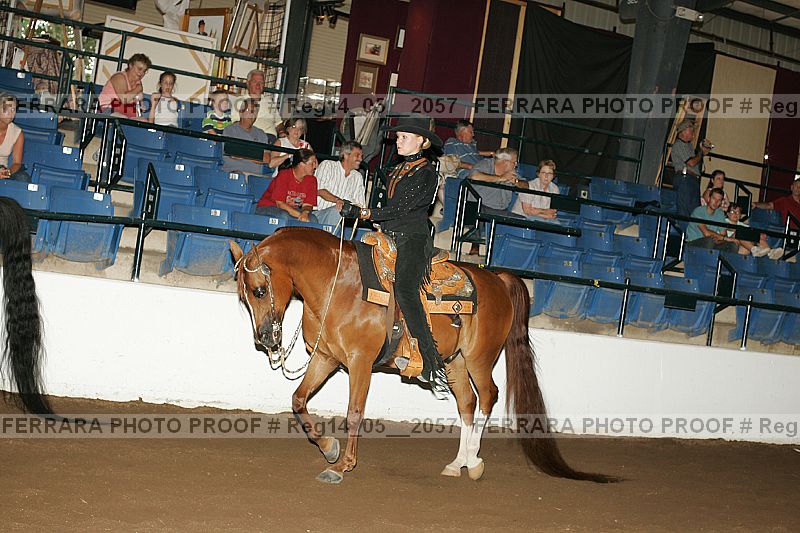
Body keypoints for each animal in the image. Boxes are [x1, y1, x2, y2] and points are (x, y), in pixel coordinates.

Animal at [230, 227, 617, 484]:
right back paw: (457, 463)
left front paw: (343, 466)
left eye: (260, 290)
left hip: (479, 358)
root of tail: (497, 278)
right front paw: (329, 448)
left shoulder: (359, 363)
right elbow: (298, 400)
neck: (338, 285)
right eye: (243, 296)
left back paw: (474, 461)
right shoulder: (326, 358)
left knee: (487, 396)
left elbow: (354, 413)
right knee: (467, 403)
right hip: (455, 361)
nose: (265, 338)